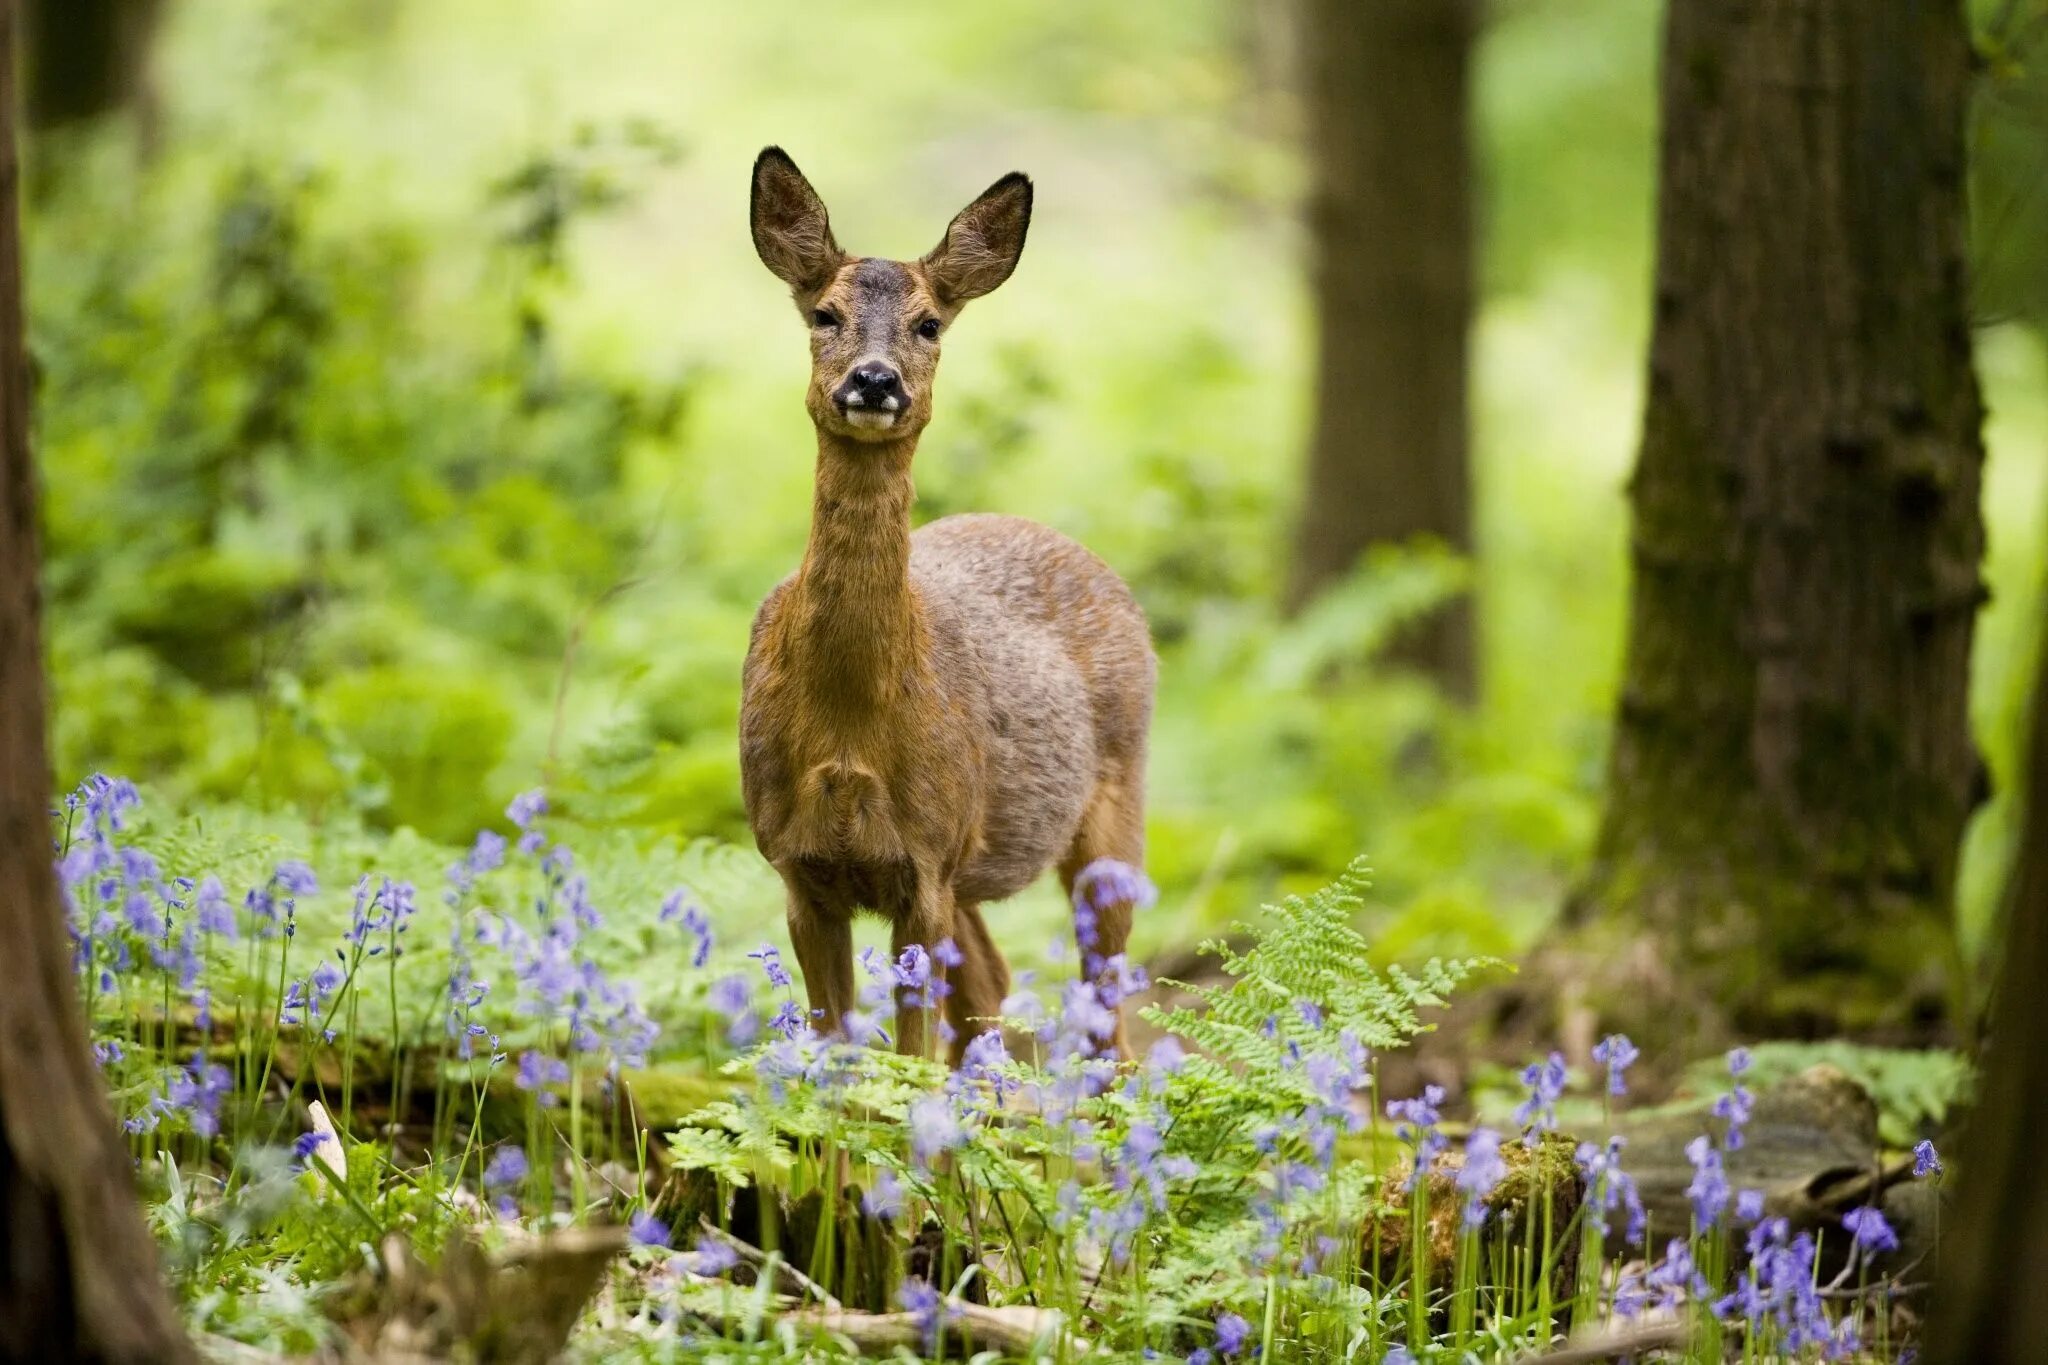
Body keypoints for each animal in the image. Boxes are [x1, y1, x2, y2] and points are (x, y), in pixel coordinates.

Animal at [737, 152, 1155, 1064]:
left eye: (929, 324)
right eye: (824, 313)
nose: (874, 379)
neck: (847, 724)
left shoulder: (924, 862)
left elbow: (907, 1064)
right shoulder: (797, 866)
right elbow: (840, 1061)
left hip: (1114, 805)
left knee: (1108, 1011)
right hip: (971, 865)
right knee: (993, 987)